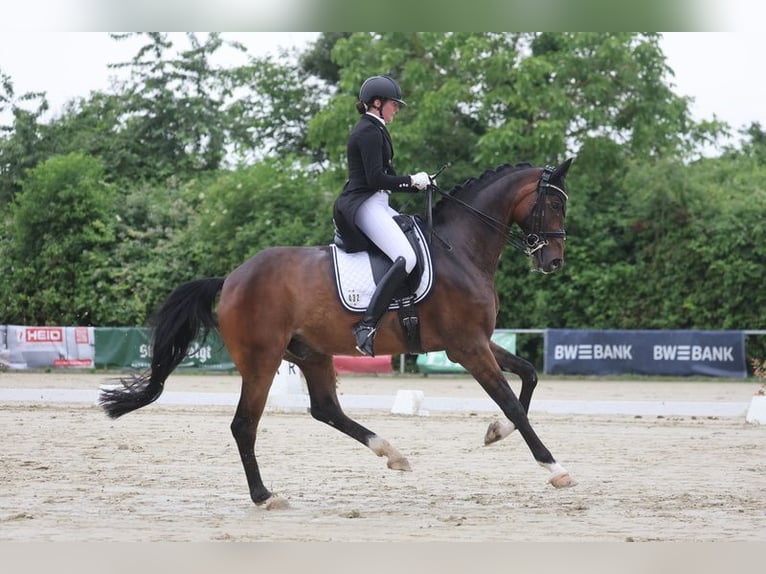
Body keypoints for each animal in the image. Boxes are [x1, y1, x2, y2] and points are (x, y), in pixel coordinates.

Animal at [100, 158, 576, 508]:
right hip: (261, 361)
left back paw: (392, 453)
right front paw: (555, 469)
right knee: (244, 425)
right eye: (554, 205)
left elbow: (529, 375)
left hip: (310, 354)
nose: (553, 261)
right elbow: (512, 401)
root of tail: (232, 278)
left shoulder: (476, 341)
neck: (460, 249)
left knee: (325, 409)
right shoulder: (467, 347)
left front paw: (496, 433)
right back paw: (264, 496)